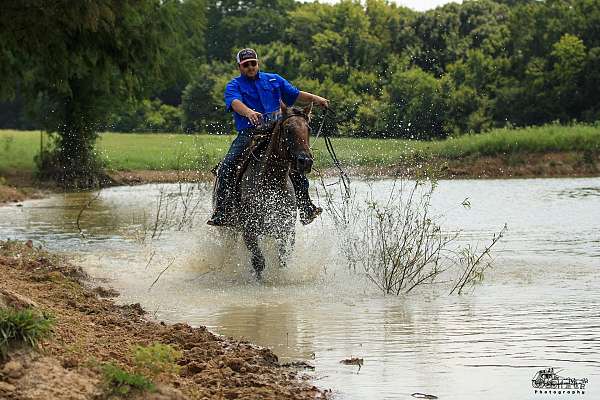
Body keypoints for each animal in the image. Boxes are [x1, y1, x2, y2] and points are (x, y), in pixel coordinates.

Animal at [218, 102, 316, 278]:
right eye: (288, 129)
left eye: (309, 129)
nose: (305, 161)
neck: (271, 183)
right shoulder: (249, 230)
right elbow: (259, 262)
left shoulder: (285, 230)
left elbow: (282, 259)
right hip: (230, 230)